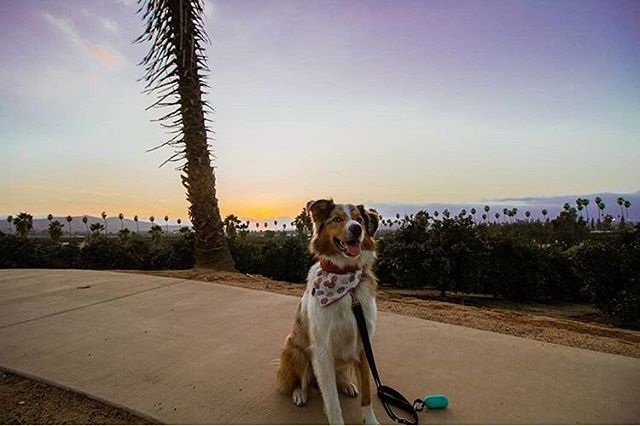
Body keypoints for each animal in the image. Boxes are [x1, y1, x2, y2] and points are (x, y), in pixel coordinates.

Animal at [276, 201, 380, 426]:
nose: (356, 229)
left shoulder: (363, 344)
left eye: (359, 220)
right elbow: (332, 401)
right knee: (300, 381)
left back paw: (346, 384)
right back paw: (299, 393)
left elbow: (367, 392)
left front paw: (370, 420)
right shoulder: (322, 351)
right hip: (296, 351)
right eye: (337, 219)